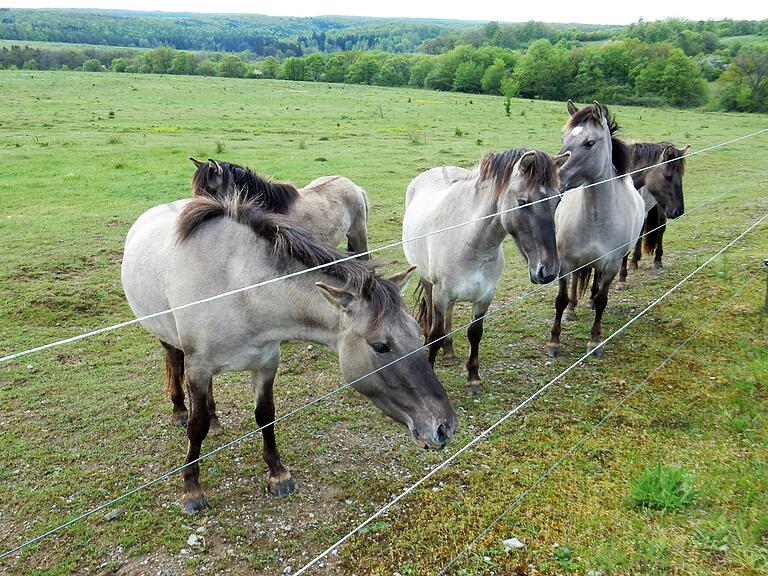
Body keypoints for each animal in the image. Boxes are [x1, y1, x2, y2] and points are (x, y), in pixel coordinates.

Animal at [121, 192, 456, 512]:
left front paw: (277, 473)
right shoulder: (199, 367)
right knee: (173, 360)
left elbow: (265, 415)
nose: (445, 427)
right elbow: (196, 426)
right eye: (381, 346)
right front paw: (191, 489)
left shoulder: (266, 362)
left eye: (416, 330)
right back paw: (180, 408)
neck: (238, 290)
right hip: (169, 339)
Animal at [402, 147, 564, 396]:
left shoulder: (485, 296)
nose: (548, 271)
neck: (470, 242)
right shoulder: (441, 294)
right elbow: (437, 334)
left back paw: (449, 353)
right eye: (523, 202)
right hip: (428, 282)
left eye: (558, 199)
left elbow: (474, 333)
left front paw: (473, 380)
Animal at [544, 101, 648, 358]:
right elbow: (561, 298)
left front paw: (594, 341)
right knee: (576, 283)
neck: (596, 218)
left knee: (596, 282)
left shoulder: (611, 265)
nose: (555, 180)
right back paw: (572, 310)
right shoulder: (565, 263)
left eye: (589, 143)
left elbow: (602, 299)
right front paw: (554, 342)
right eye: (563, 138)